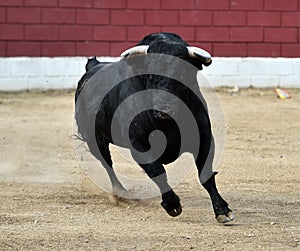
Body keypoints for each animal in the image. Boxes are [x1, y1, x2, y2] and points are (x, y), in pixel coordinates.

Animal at [75, 32, 234, 223]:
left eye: (184, 73)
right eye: (151, 74)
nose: (164, 109)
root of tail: (93, 67)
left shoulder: (204, 138)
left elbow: (206, 175)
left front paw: (222, 210)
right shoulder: (139, 145)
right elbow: (158, 172)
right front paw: (172, 205)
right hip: (94, 140)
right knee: (108, 164)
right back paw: (121, 193)